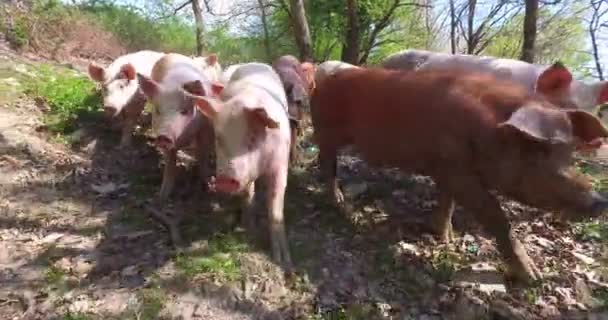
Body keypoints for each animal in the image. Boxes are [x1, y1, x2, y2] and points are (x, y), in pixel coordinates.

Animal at [191, 62, 294, 268]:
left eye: (251, 138)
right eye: (219, 138)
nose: (223, 179)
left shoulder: (280, 165)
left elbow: (275, 208)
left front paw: (282, 260)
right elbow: (247, 194)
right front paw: (247, 226)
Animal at [312, 67, 608, 282]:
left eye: (570, 152)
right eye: (542, 151)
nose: (600, 201)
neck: (490, 132)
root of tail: (322, 81)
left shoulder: (446, 168)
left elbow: (448, 203)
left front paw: (445, 239)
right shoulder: (458, 172)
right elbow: (497, 217)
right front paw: (534, 278)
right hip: (326, 130)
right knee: (328, 165)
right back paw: (343, 208)